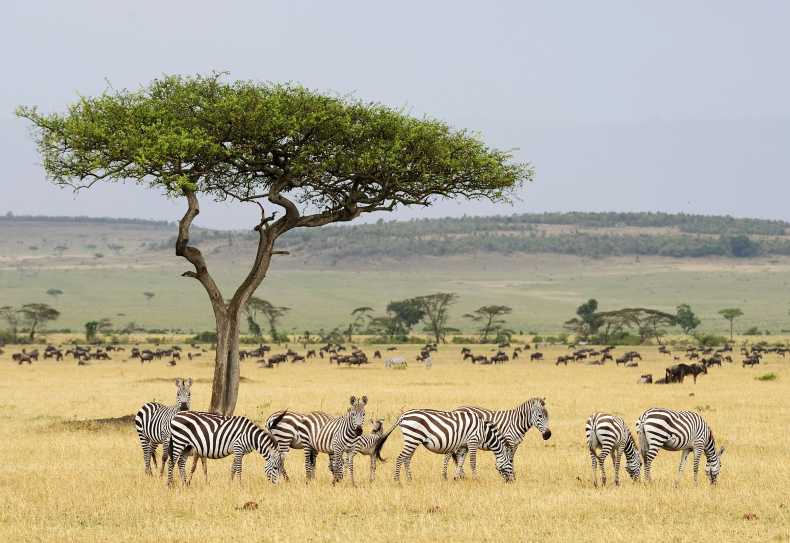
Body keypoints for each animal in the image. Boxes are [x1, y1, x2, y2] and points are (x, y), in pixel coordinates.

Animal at [372, 408, 515, 482]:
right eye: (510, 462)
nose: (513, 481)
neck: (484, 432)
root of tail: (403, 415)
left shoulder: (464, 445)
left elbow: (460, 462)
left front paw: (457, 478)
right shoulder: (472, 441)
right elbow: (472, 462)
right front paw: (475, 479)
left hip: (413, 440)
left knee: (406, 458)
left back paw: (410, 479)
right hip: (412, 438)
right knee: (400, 458)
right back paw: (397, 480)